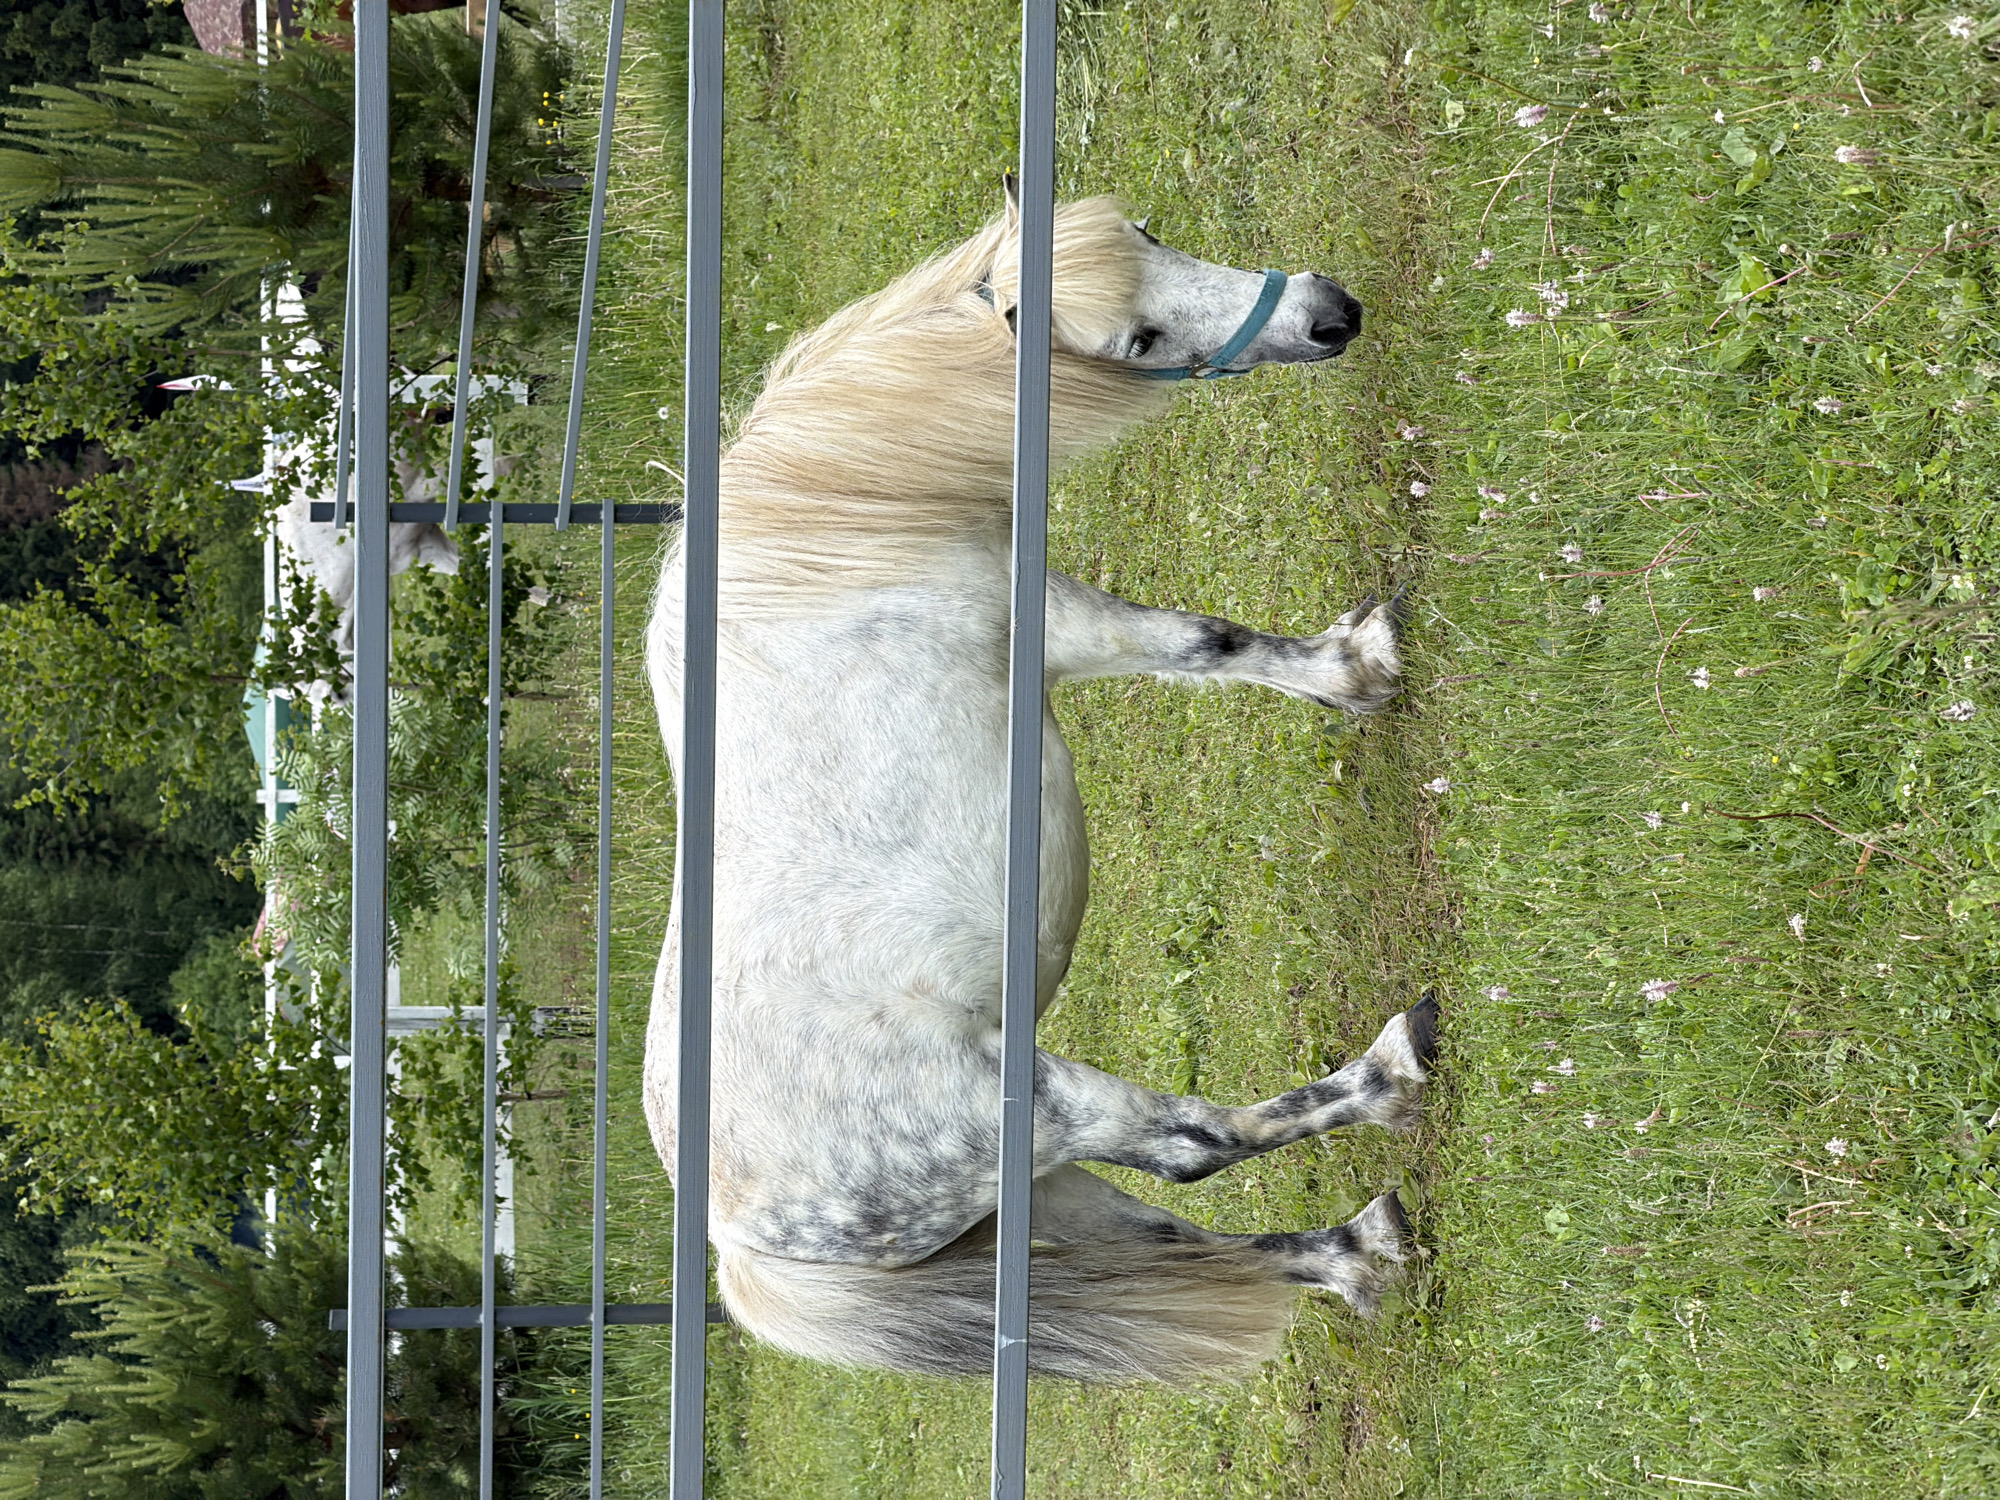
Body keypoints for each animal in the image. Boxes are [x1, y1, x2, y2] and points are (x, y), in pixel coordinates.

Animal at [643, 187, 1433, 1385]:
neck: (830, 537)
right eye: (1134, 342)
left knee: (1192, 1242)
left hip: (1037, 1196)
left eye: (1149, 233)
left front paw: (1350, 670)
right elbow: (1203, 641)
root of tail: (743, 1240)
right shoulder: (1053, 623)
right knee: (1197, 1146)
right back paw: (1388, 1075)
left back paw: (1356, 1254)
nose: (1327, 315)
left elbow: (1211, 649)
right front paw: (1360, 667)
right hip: (1043, 1109)